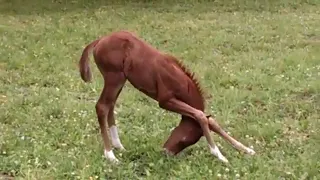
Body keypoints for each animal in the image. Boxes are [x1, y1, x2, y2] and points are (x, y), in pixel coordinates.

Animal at [78, 31, 255, 163]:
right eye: (186, 139)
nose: (166, 151)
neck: (180, 79)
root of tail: (99, 40)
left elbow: (211, 121)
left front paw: (246, 149)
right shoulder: (165, 101)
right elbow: (200, 116)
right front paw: (219, 155)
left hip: (120, 80)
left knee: (110, 105)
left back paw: (118, 146)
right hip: (113, 77)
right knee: (102, 106)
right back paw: (110, 155)